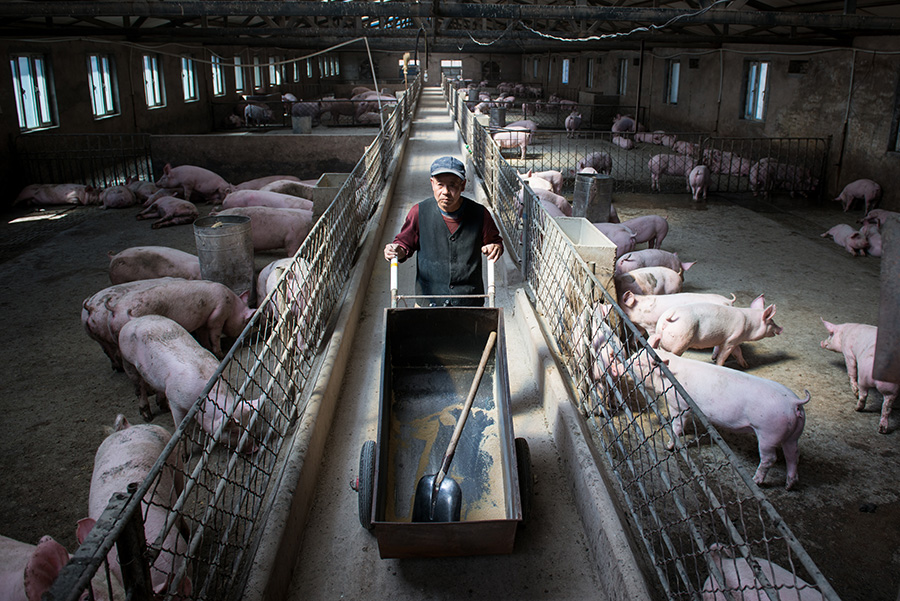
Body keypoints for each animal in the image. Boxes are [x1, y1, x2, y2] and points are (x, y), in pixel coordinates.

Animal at [118, 314, 260, 450]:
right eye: (233, 432)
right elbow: (180, 429)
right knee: (138, 386)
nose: (255, 448)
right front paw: (184, 455)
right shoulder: (175, 400)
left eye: (247, 425)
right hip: (126, 359)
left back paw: (163, 407)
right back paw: (148, 417)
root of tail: (134, 320)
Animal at [616, 346, 812, 488]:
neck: (667, 377)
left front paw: (669, 446)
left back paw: (756, 481)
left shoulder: (679, 404)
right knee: (794, 454)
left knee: (771, 458)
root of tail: (794, 402)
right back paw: (789, 486)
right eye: (634, 355)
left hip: (768, 432)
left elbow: (677, 425)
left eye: (639, 364)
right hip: (793, 433)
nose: (617, 367)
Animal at [648, 294, 780, 368]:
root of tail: (669, 317)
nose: (781, 329)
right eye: (771, 321)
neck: (749, 325)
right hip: (681, 338)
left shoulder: (733, 340)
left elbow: (738, 352)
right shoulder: (731, 340)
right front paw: (719, 365)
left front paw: (746, 366)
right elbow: (723, 355)